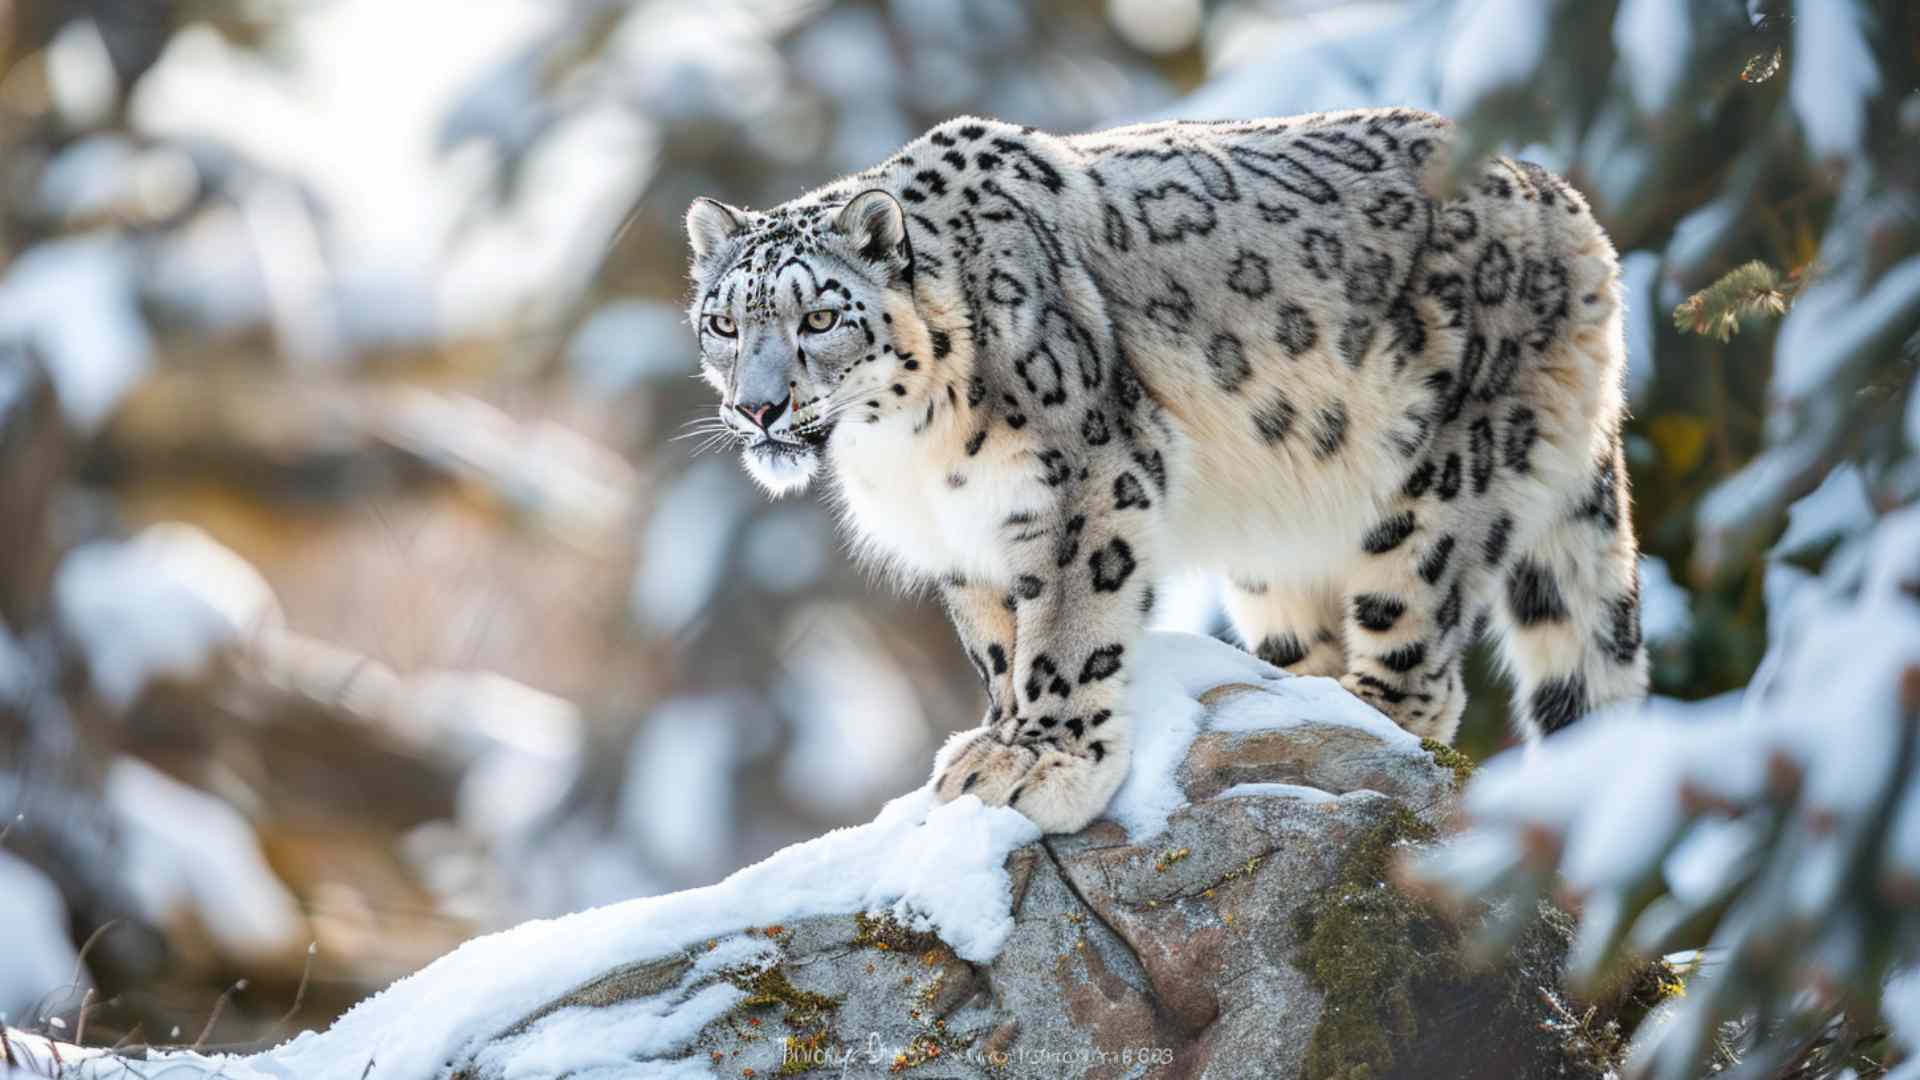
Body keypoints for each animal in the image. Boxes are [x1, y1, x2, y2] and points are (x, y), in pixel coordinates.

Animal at [683, 109, 1647, 834]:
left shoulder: (1084, 478)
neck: (904, 454)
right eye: (724, 324)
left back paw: (1358, 712)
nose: (759, 408)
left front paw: (1041, 760)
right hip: (1278, 551)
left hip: (1446, 475)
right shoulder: (964, 537)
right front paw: (996, 737)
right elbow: (998, 646)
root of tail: (1567, 204)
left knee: (1419, 654)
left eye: (818, 318)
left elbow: (1067, 628)